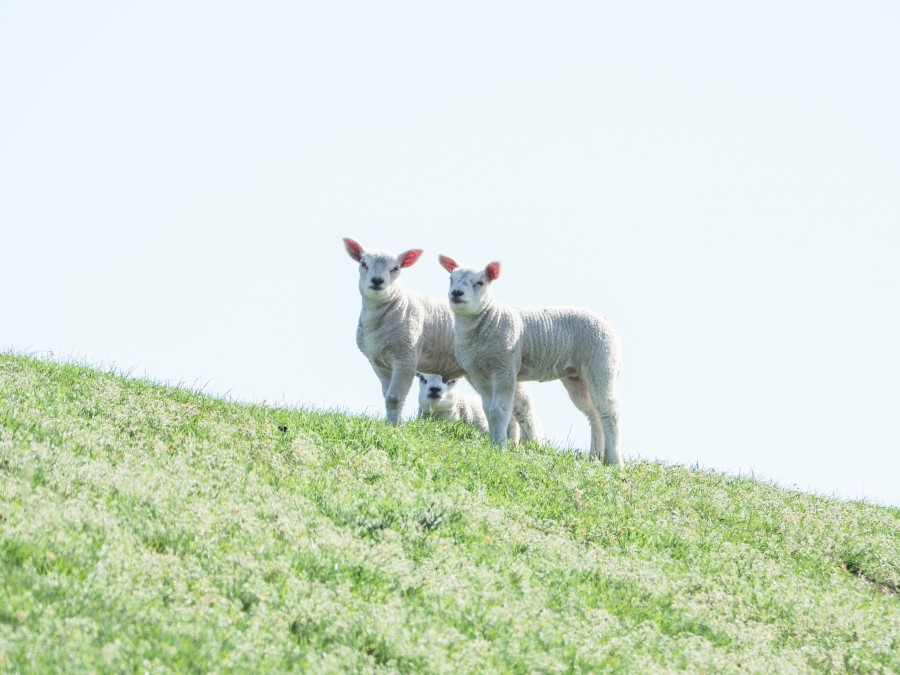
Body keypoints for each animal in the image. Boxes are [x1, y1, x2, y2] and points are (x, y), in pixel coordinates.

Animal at [343, 238, 543, 440]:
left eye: (396, 268)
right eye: (363, 264)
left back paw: (531, 442)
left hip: (504, 364)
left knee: (524, 407)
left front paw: (394, 429)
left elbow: (394, 397)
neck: (393, 308)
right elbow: (386, 395)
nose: (377, 281)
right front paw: (389, 425)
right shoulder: (378, 363)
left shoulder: (405, 356)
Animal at [438, 255, 623, 466]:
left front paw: (499, 447)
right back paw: (596, 457)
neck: (490, 320)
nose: (456, 293)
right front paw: (494, 443)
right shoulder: (479, 375)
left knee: (610, 410)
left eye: (480, 282)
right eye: (451, 279)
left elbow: (499, 410)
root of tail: (609, 324)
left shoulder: (504, 368)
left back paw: (615, 461)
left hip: (601, 363)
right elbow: (488, 410)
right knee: (593, 412)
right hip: (576, 376)